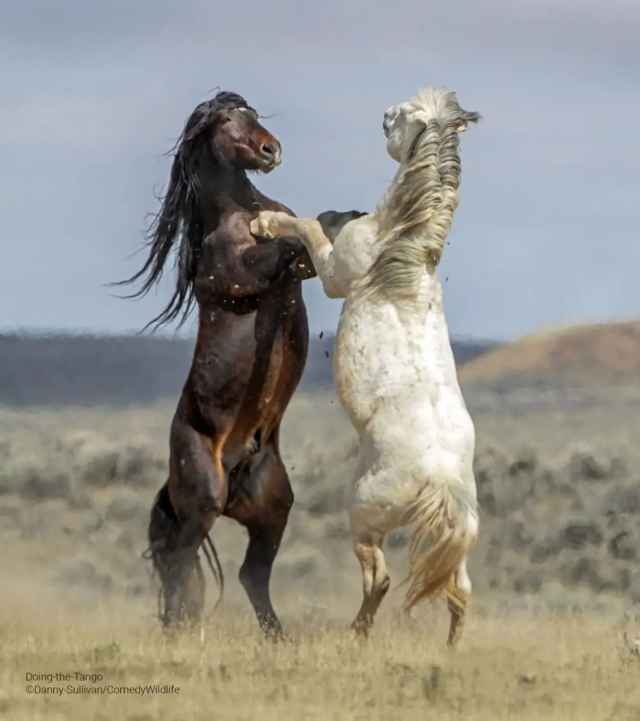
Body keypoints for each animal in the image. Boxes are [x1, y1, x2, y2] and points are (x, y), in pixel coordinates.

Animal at [119, 91, 316, 636]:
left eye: (253, 115)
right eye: (227, 120)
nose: (271, 150)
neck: (240, 209)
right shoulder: (242, 274)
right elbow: (286, 246)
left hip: (273, 507)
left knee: (251, 575)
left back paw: (279, 639)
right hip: (203, 500)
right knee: (180, 565)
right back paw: (180, 632)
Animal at [250, 87, 480, 644]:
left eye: (405, 117)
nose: (382, 117)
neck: (400, 247)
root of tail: (440, 482)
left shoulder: (336, 272)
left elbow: (309, 228)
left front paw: (264, 224)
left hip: (364, 516)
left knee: (380, 578)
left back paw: (356, 633)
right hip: (457, 540)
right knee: (458, 594)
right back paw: (448, 650)